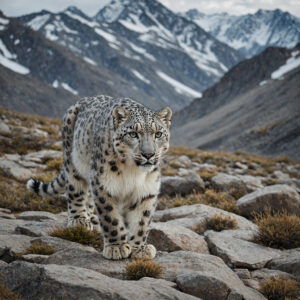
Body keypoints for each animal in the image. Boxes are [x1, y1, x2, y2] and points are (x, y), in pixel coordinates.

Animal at [28, 96, 173, 260]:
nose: (148, 154)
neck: (133, 171)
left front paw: (140, 249)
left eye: (158, 134)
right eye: (133, 134)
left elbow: (142, 221)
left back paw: (92, 216)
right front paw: (117, 247)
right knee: (75, 190)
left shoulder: (146, 191)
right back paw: (79, 220)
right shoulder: (104, 185)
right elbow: (110, 217)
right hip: (72, 162)